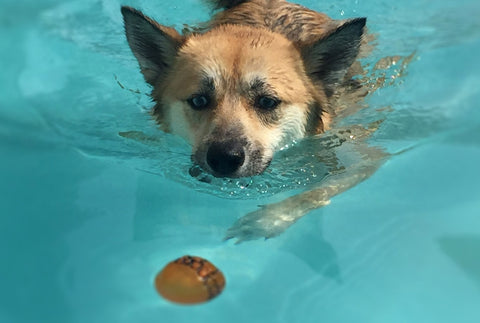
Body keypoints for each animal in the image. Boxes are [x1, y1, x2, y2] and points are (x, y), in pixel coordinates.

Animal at [122, 0, 392, 243]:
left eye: (267, 102)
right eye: (199, 100)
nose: (224, 158)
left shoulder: (359, 158)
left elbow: (315, 192)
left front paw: (266, 220)